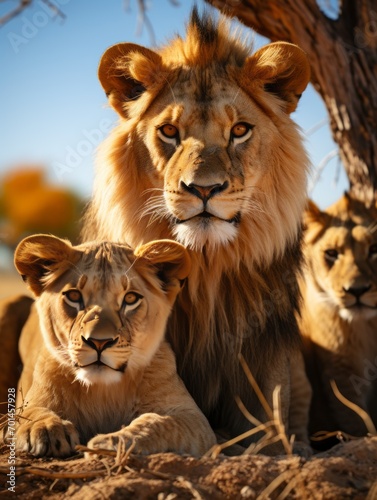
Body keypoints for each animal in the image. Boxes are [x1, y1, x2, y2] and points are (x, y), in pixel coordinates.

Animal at [4, 234, 214, 458]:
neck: (102, 390)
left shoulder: (192, 418)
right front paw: (46, 428)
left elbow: (160, 422)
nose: (99, 342)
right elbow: (29, 413)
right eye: (74, 296)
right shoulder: (33, 401)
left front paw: (110, 442)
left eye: (130, 298)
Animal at [81, 7, 310, 446]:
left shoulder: (266, 349)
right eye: (169, 131)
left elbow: (272, 419)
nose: (203, 188)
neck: (206, 265)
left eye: (239, 130)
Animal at [296, 193, 376, 444]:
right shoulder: (340, 373)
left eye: (374, 248)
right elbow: (355, 419)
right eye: (331, 253)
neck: (368, 326)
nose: (357, 290)